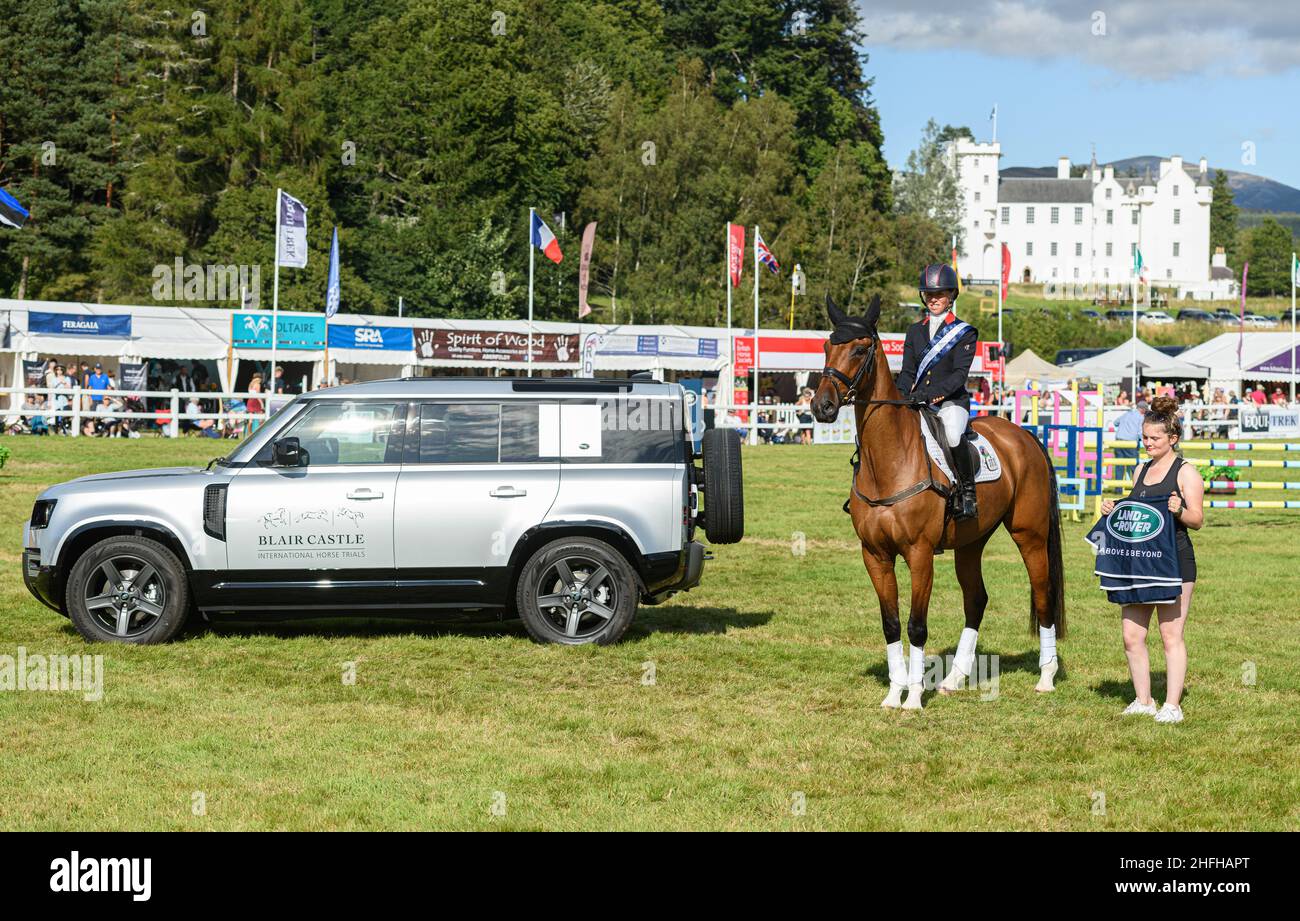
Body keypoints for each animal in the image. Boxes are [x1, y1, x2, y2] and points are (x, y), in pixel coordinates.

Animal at [811, 291, 1066, 707]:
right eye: (827, 346)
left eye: (861, 348)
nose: (823, 406)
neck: (889, 461)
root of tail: (1025, 436)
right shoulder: (875, 555)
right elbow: (891, 623)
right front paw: (893, 694)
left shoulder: (919, 553)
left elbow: (916, 626)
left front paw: (913, 698)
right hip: (971, 542)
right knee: (976, 599)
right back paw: (954, 678)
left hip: (1029, 535)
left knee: (1043, 596)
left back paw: (1046, 676)